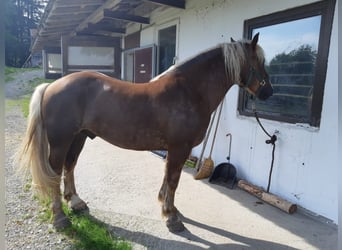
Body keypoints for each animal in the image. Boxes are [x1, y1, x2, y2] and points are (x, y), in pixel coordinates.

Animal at [17, 33, 272, 232]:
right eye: (259, 62)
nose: (268, 92)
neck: (189, 90)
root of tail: (52, 85)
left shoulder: (174, 149)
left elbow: (168, 178)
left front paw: (168, 207)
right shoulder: (180, 147)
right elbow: (173, 180)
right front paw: (171, 217)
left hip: (78, 137)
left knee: (69, 166)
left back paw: (76, 203)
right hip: (61, 142)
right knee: (55, 173)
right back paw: (59, 217)